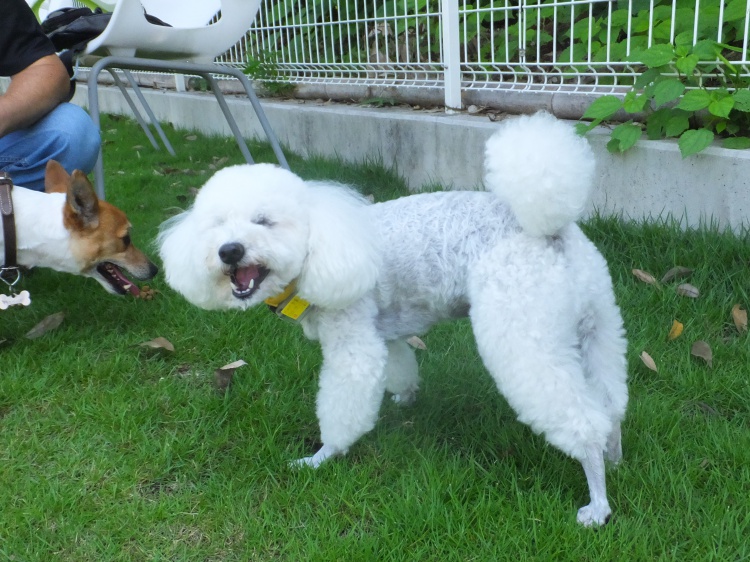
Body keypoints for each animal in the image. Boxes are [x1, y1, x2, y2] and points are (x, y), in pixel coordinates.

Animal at [158, 112, 628, 526]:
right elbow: (399, 365)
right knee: (610, 404)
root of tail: (549, 229)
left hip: (523, 330)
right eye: (216, 226)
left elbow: (343, 407)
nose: (229, 250)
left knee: (583, 422)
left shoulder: (353, 343)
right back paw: (615, 457)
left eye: (264, 221)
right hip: (598, 325)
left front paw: (320, 458)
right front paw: (404, 397)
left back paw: (598, 501)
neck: (321, 246)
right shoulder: (383, 332)